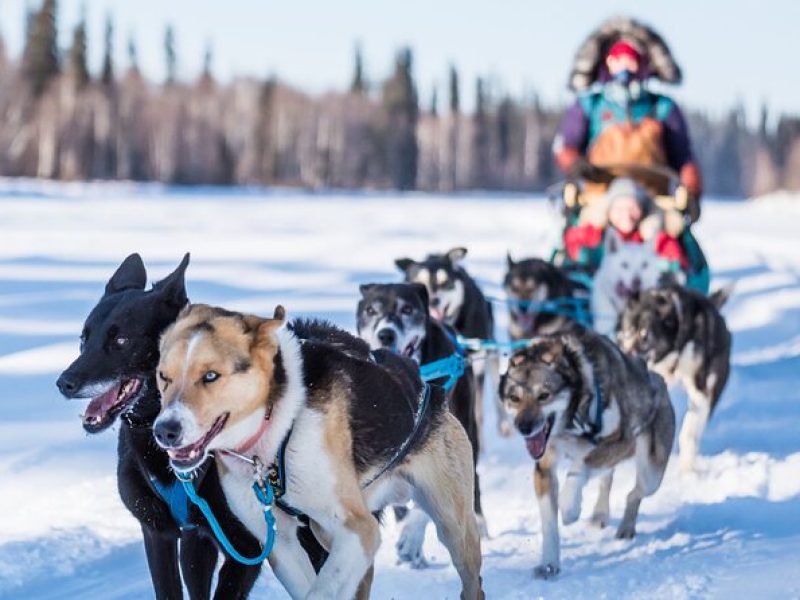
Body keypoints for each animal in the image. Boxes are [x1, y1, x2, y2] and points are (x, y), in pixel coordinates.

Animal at [153, 304, 484, 600]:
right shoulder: (282, 545)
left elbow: (323, 590)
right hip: (326, 532)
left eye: (210, 376)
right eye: (163, 377)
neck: (277, 424)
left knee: (472, 583)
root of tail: (428, 388)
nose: (165, 430)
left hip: (454, 527)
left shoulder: (358, 530)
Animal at [500, 326, 676, 580]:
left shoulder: (622, 441)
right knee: (607, 478)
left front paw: (569, 506)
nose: (523, 427)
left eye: (544, 395)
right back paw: (600, 515)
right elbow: (549, 523)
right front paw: (549, 564)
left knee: (633, 493)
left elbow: (581, 466)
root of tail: (655, 378)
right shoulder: (544, 466)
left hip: (650, 473)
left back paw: (625, 527)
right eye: (514, 398)